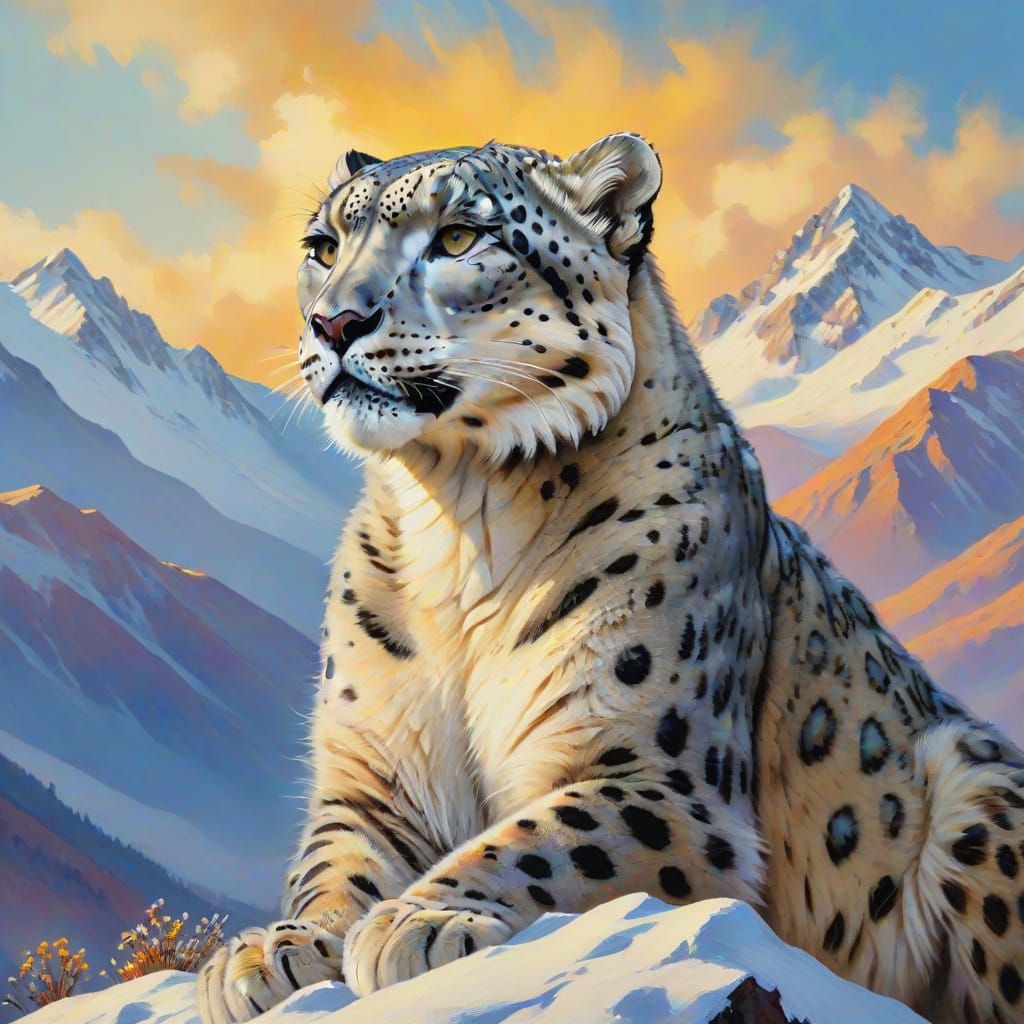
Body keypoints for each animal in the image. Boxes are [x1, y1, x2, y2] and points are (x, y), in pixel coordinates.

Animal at [197, 133, 1024, 1024]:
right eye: (322, 248)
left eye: (458, 237)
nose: (334, 322)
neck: (457, 522)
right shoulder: (373, 776)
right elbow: (332, 863)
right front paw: (275, 949)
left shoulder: (654, 777)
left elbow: (542, 840)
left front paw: (422, 920)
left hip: (976, 779)